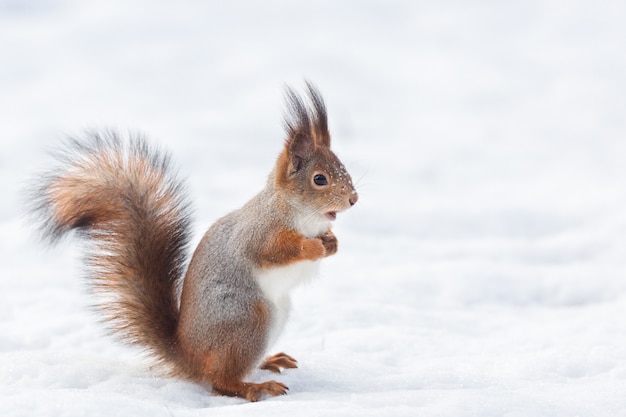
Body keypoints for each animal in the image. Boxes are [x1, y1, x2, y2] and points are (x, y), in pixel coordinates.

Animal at [30, 83, 356, 402]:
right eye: (319, 179)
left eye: (343, 169)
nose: (354, 199)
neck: (300, 215)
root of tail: (189, 356)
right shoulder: (259, 232)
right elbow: (275, 251)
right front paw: (313, 247)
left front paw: (332, 243)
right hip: (249, 319)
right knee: (220, 381)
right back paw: (254, 387)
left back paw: (268, 361)